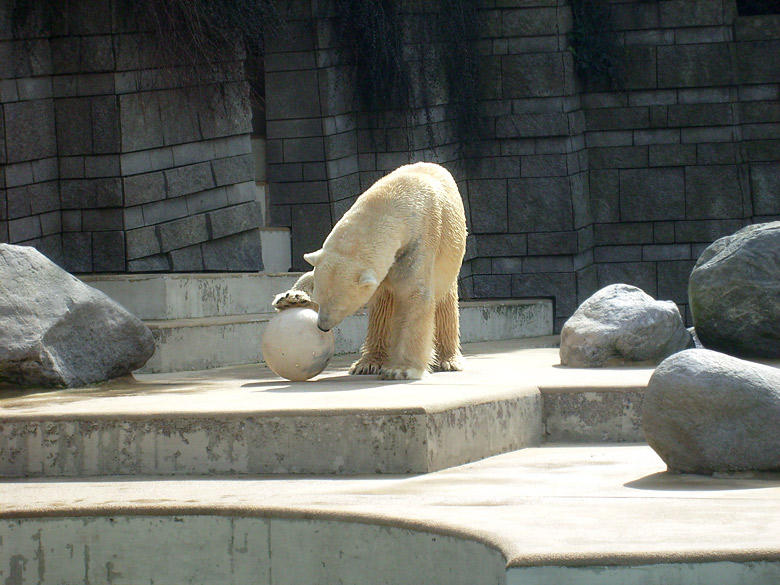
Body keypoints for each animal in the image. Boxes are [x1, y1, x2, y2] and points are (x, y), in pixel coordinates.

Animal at [272, 161, 464, 378]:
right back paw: (368, 363)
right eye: (319, 300)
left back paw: (449, 360)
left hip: (449, 259)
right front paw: (292, 298)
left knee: (445, 306)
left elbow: (414, 296)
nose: (322, 326)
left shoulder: (420, 242)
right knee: (382, 309)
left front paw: (401, 369)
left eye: (340, 307)